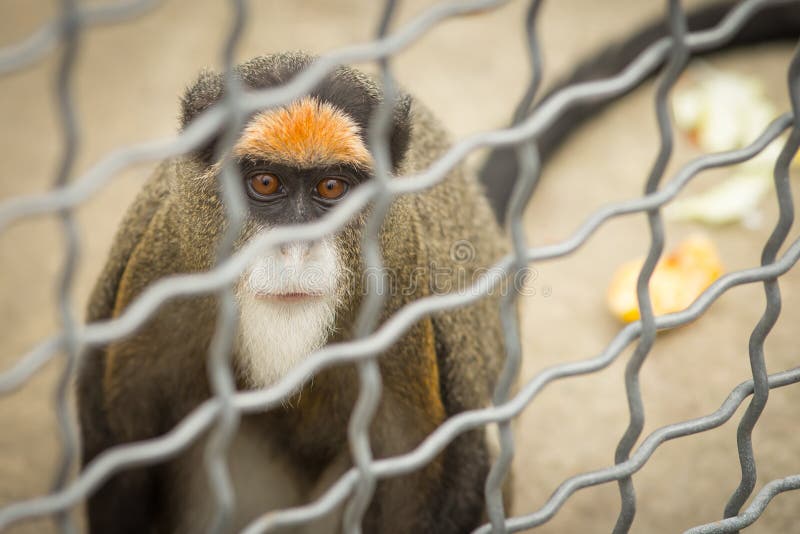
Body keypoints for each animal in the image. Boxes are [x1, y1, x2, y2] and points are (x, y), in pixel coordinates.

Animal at [78, 51, 510, 534]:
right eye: (266, 183)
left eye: (331, 187)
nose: (295, 249)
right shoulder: (160, 274)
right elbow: (120, 457)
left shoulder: (403, 304)